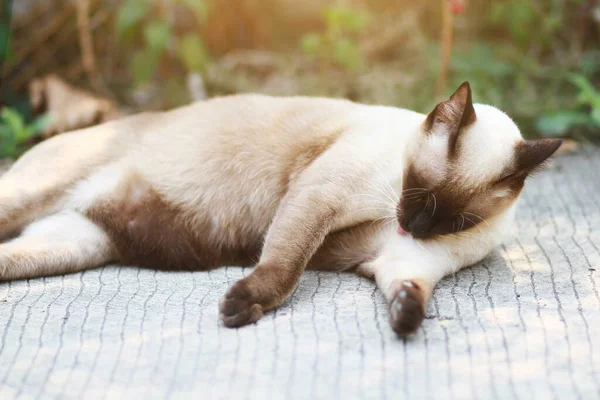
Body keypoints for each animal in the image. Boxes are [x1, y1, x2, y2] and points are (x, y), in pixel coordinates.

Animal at [0, 82, 564, 334]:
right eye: (419, 192)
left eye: (454, 221)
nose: (414, 227)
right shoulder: (317, 198)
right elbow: (286, 265)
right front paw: (243, 308)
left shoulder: (405, 261)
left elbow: (410, 291)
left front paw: (406, 320)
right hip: (35, 199)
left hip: (73, 246)